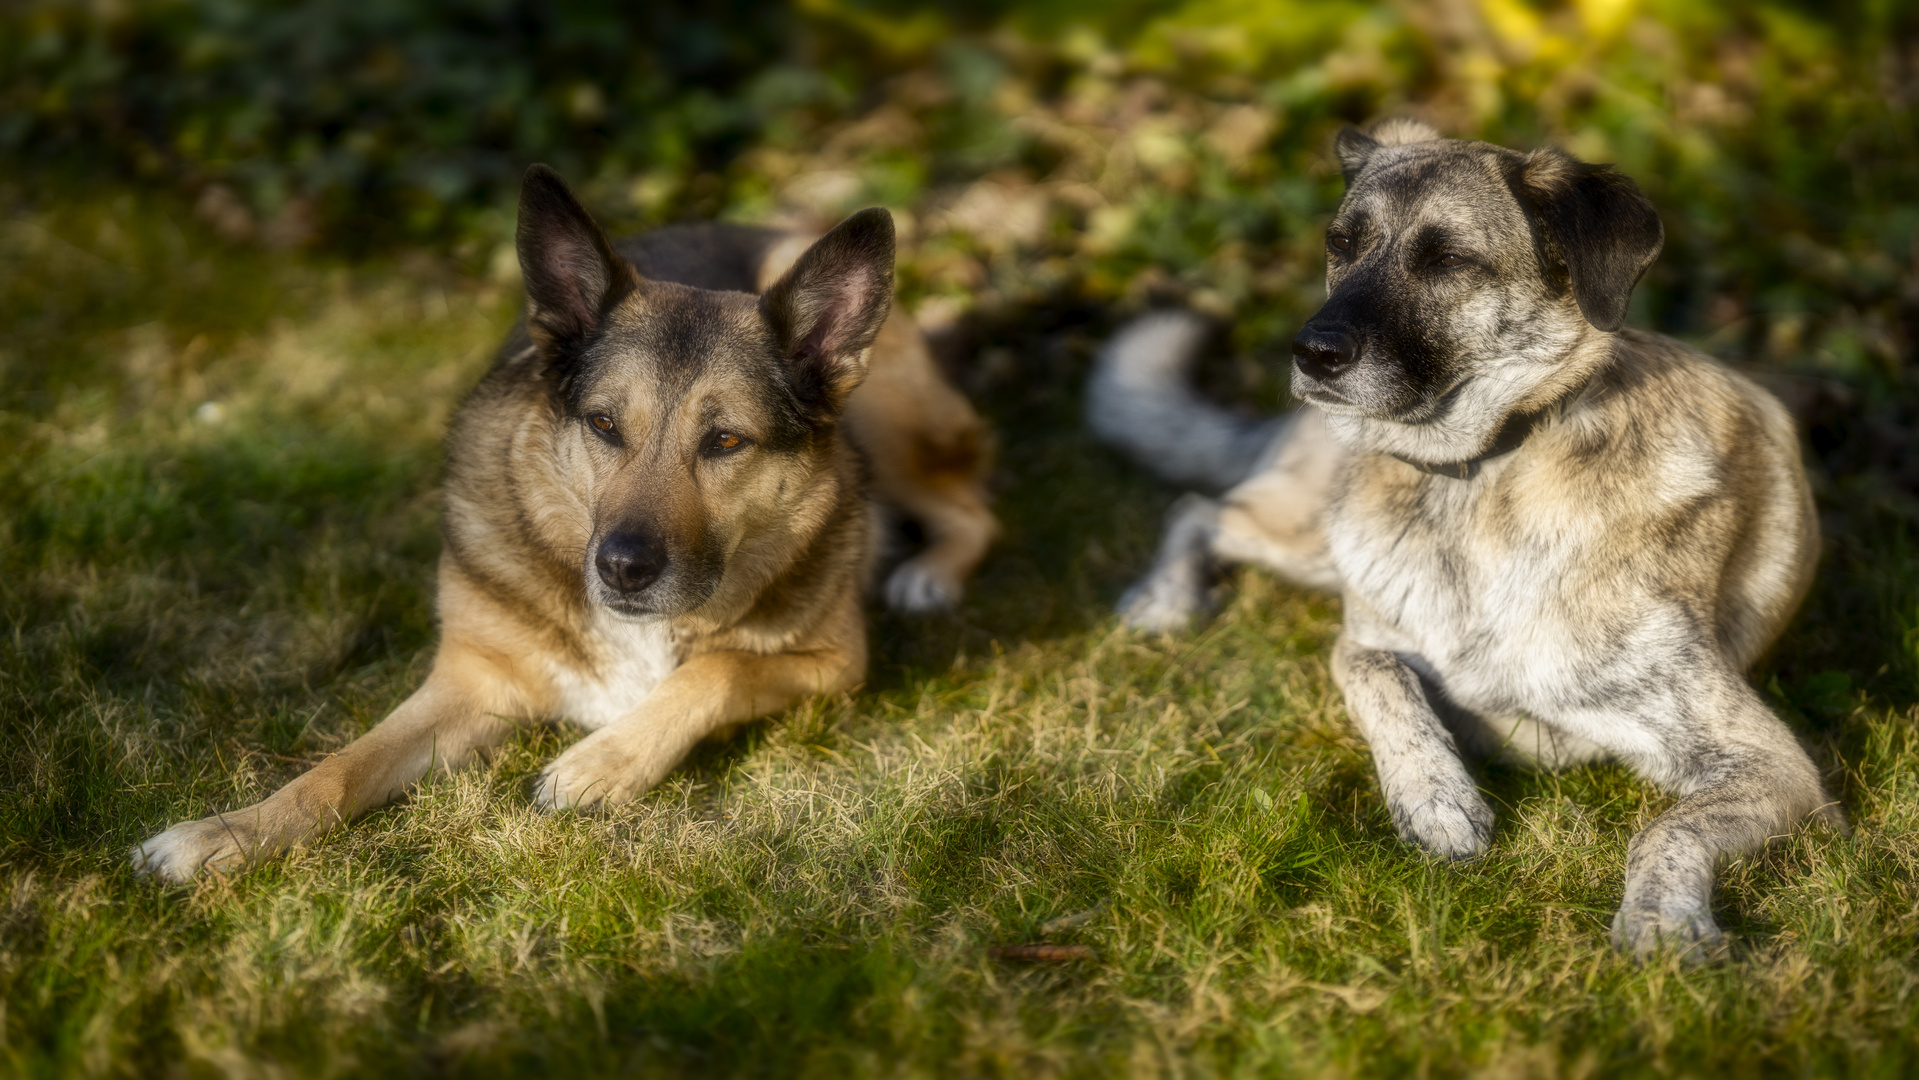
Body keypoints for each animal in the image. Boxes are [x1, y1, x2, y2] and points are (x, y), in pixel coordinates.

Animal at [1089, 120, 1834, 962]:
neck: (1477, 479)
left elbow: (1667, 828)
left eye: (1447, 261)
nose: (1308, 354)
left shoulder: (1772, 765)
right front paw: (1435, 798)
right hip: (1314, 539)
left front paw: (1660, 918)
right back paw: (1163, 599)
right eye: (1340, 244)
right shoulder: (1365, 637)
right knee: (1201, 508)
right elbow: (1378, 679)